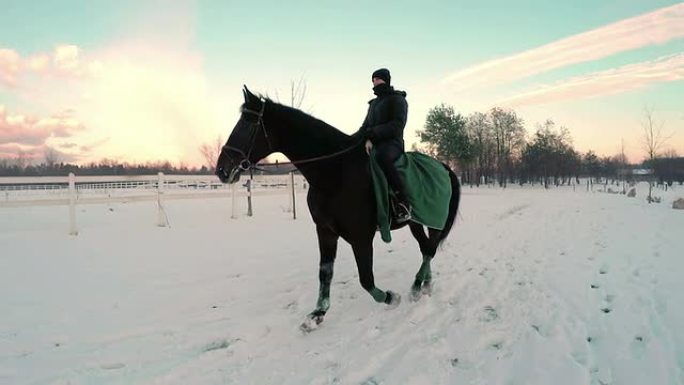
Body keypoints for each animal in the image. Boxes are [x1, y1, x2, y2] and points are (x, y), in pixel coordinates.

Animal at [216, 86, 462, 330]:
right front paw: (317, 314)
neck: (336, 172)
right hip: (416, 222)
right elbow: (325, 273)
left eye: (247, 125)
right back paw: (423, 285)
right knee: (426, 248)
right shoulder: (325, 231)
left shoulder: (361, 237)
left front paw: (391, 298)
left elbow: (366, 279)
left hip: (434, 221)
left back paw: (416, 287)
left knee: (430, 249)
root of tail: (444, 167)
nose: (221, 170)